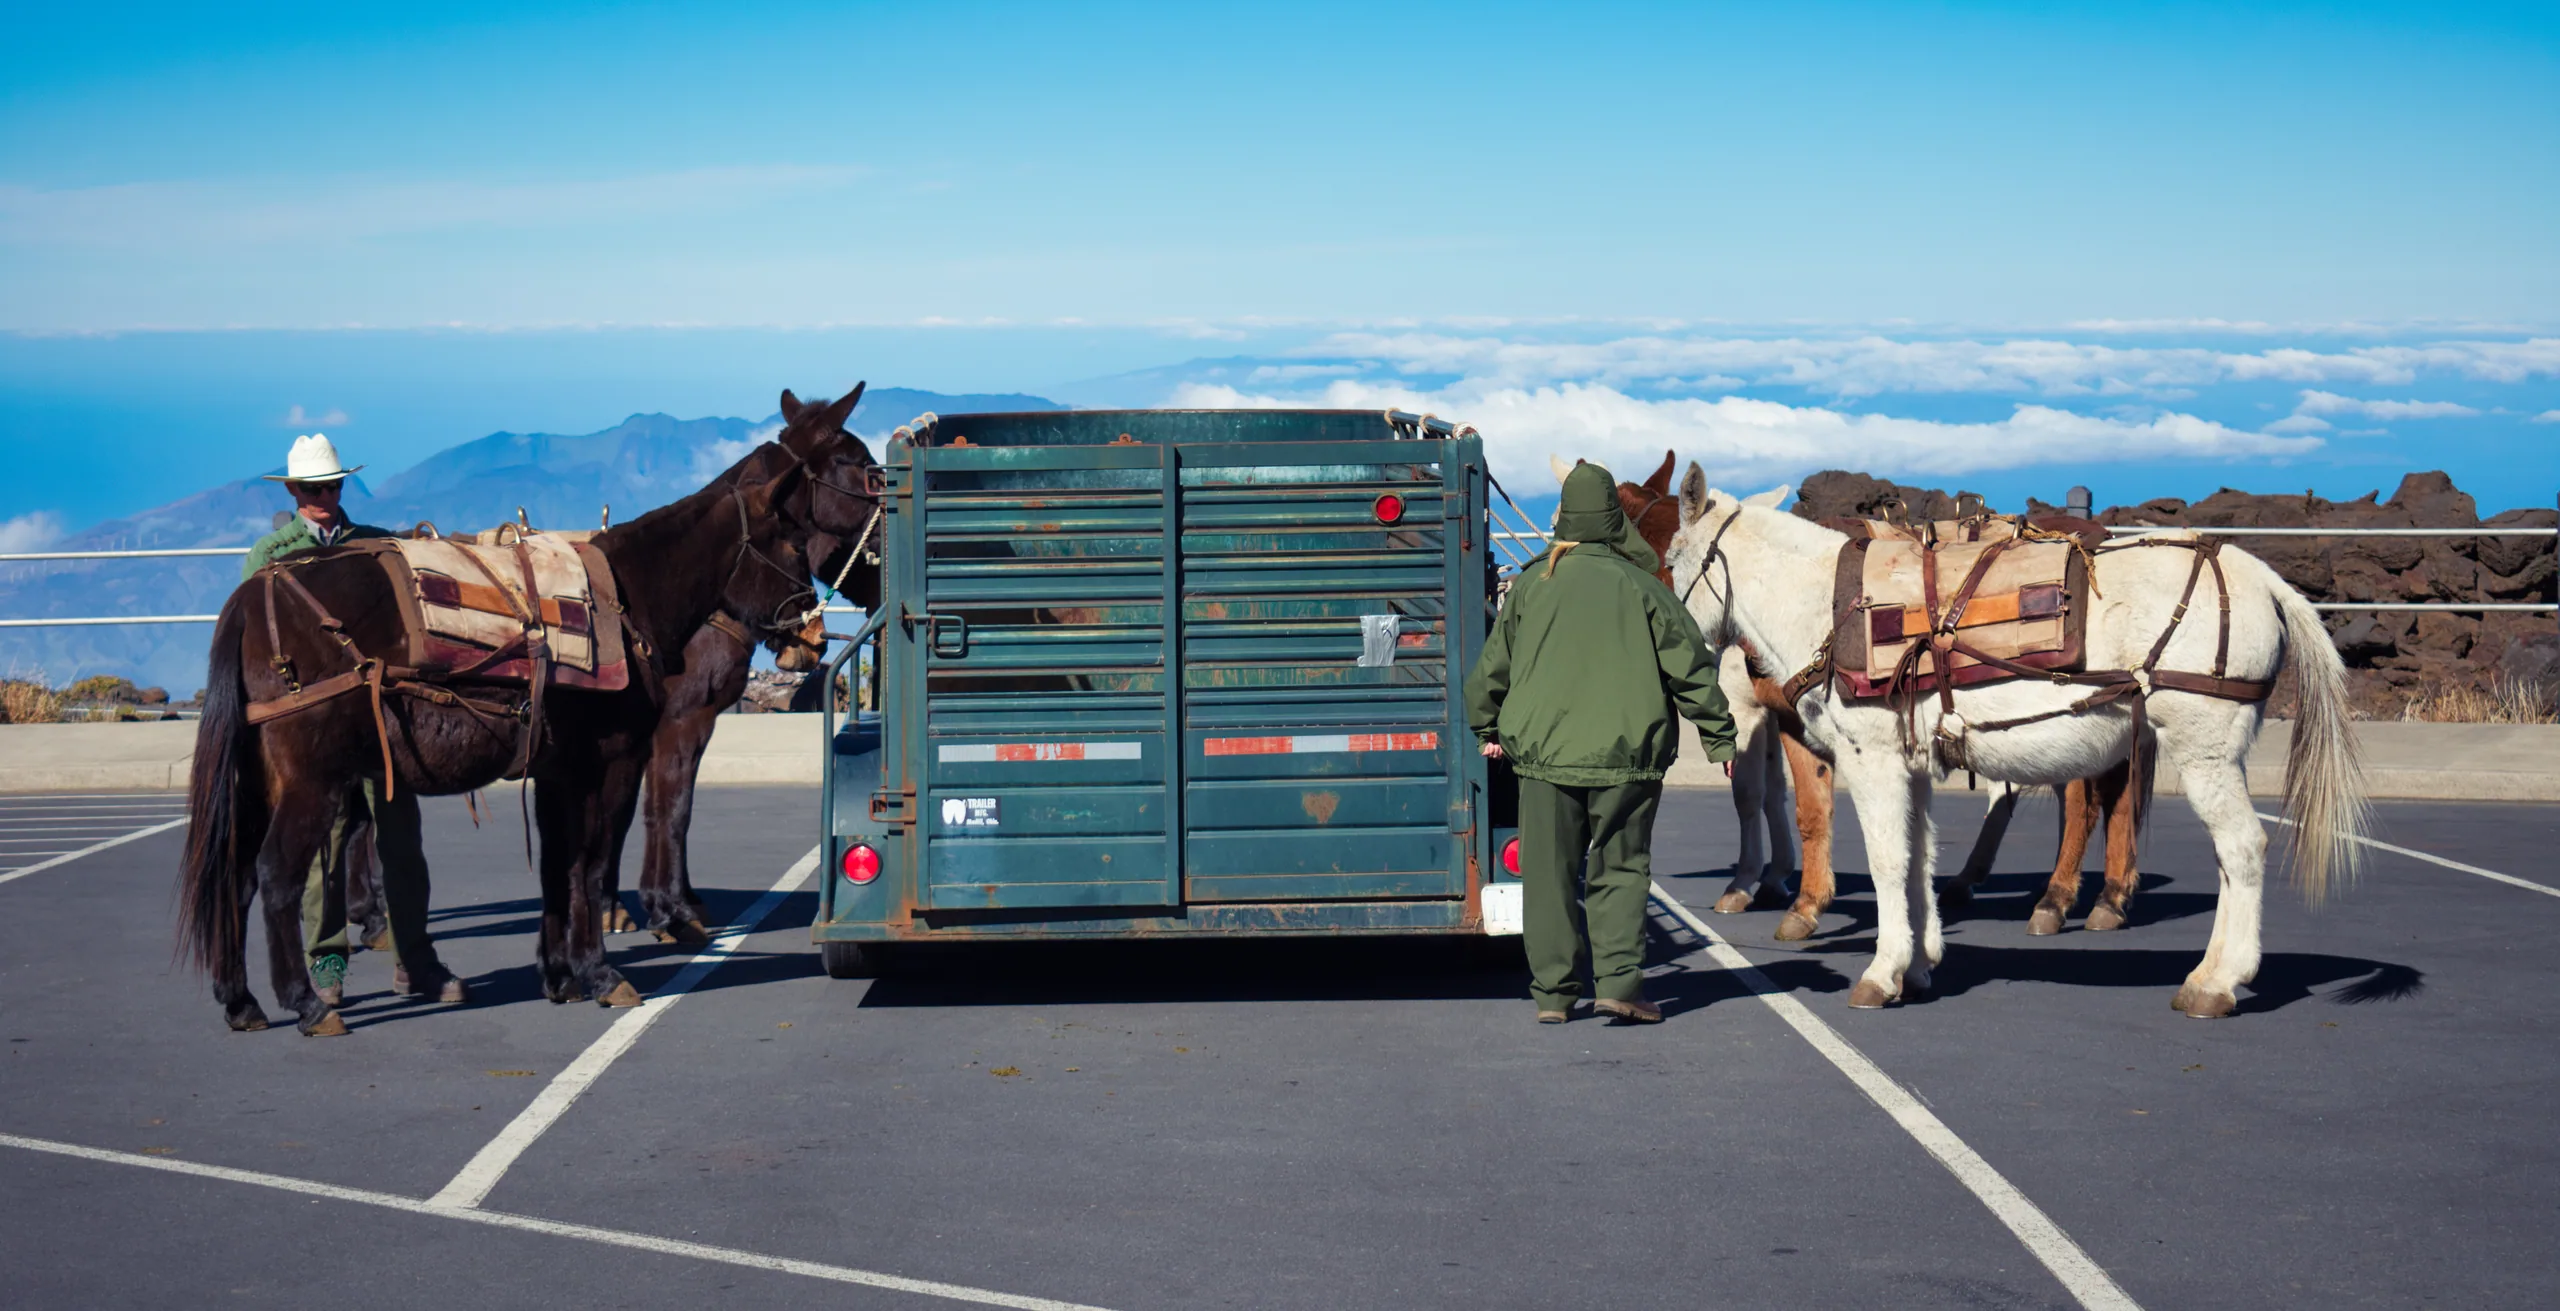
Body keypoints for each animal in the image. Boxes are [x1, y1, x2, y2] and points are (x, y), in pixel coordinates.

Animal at [176, 393, 859, 1035]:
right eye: (793, 542)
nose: (812, 633)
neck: (625, 599)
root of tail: (253, 596)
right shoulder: (613, 762)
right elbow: (593, 859)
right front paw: (602, 970)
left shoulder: (559, 770)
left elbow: (559, 866)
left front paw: (560, 974)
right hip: (310, 782)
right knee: (276, 875)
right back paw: (307, 1003)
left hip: (259, 782)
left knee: (236, 874)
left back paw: (242, 1001)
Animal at [1662, 463, 2366, 1015]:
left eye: (1669, 560)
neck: (1828, 607)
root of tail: (2261, 577)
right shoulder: (1913, 765)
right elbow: (1919, 859)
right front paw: (1920, 965)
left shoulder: (1873, 759)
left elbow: (1889, 861)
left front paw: (1882, 972)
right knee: (2224, 857)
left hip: (2204, 750)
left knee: (2242, 849)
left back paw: (2215, 984)